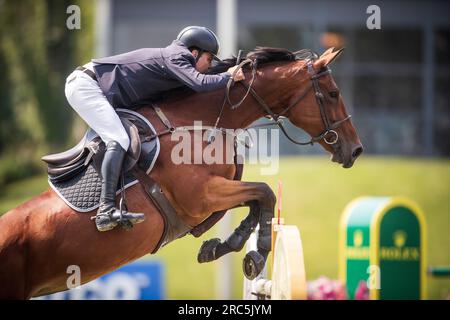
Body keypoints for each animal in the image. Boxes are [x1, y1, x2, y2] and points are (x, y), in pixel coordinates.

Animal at [0, 46, 362, 298]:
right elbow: (265, 192)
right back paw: (109, 216)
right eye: (333, 94)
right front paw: (257, 251)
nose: (355, 149)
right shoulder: (202, 197)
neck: (199, 123)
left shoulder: (214, 196)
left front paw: (224, 247)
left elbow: (257, 200)